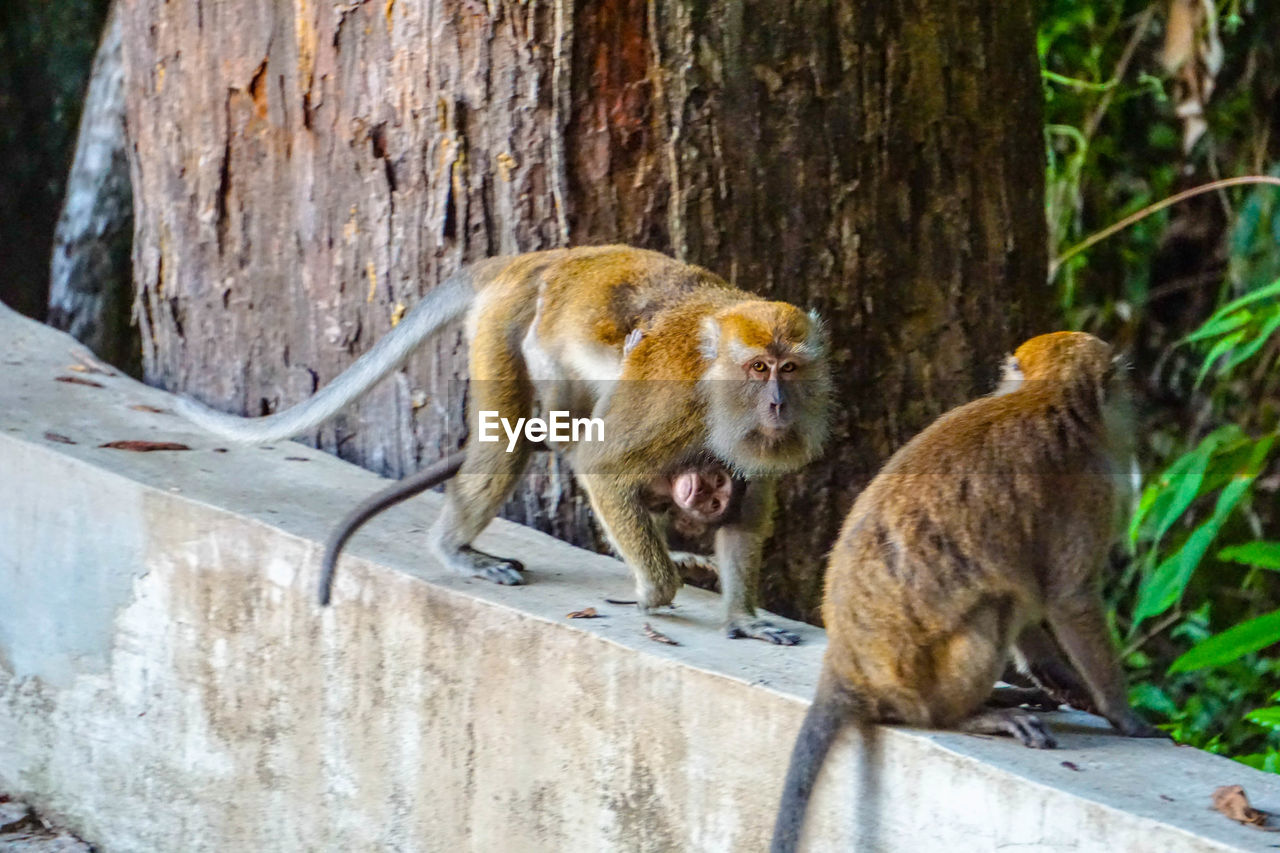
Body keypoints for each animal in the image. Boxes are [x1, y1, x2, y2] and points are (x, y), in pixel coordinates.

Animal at [175, 242, 829, 640]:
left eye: (789, 368)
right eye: (758, 369)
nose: (777, 405)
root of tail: (536, 261)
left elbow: (744, 520)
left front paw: (743, 617)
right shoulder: (675, 404)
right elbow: (604, 466)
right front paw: (654, 591)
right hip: (504, 324)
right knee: (508, 440)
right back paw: (457, 550)